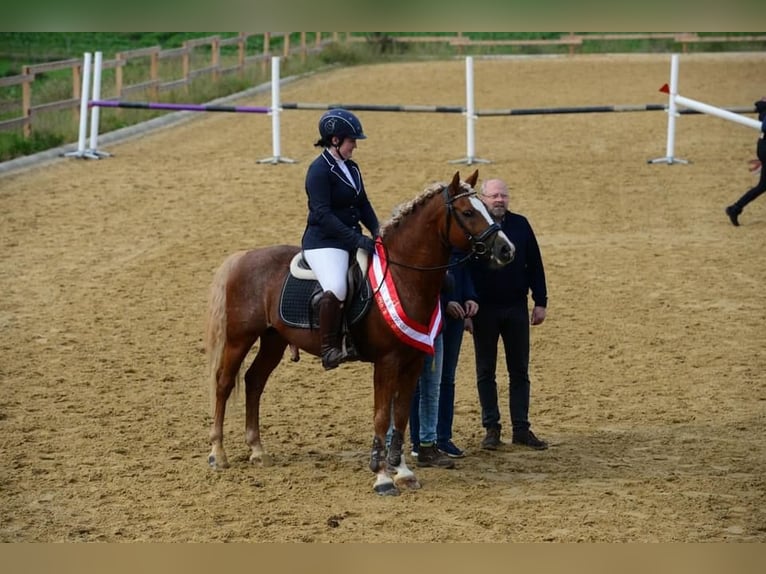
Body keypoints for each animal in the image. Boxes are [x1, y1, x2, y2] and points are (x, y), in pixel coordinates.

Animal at [204, 170, 516, 496]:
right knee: (224, 383)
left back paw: (257, 450)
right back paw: (218, 454)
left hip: (273, 340)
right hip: (239, 339)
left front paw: (403, 472)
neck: (404, 275)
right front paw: (382, 477)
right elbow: (381, 416)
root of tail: (243, 257)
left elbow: (400, 415)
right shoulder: (387, 361)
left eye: (485, 207)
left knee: (254, 381)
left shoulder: (414, 361)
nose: (506, 249)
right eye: (468, 212)